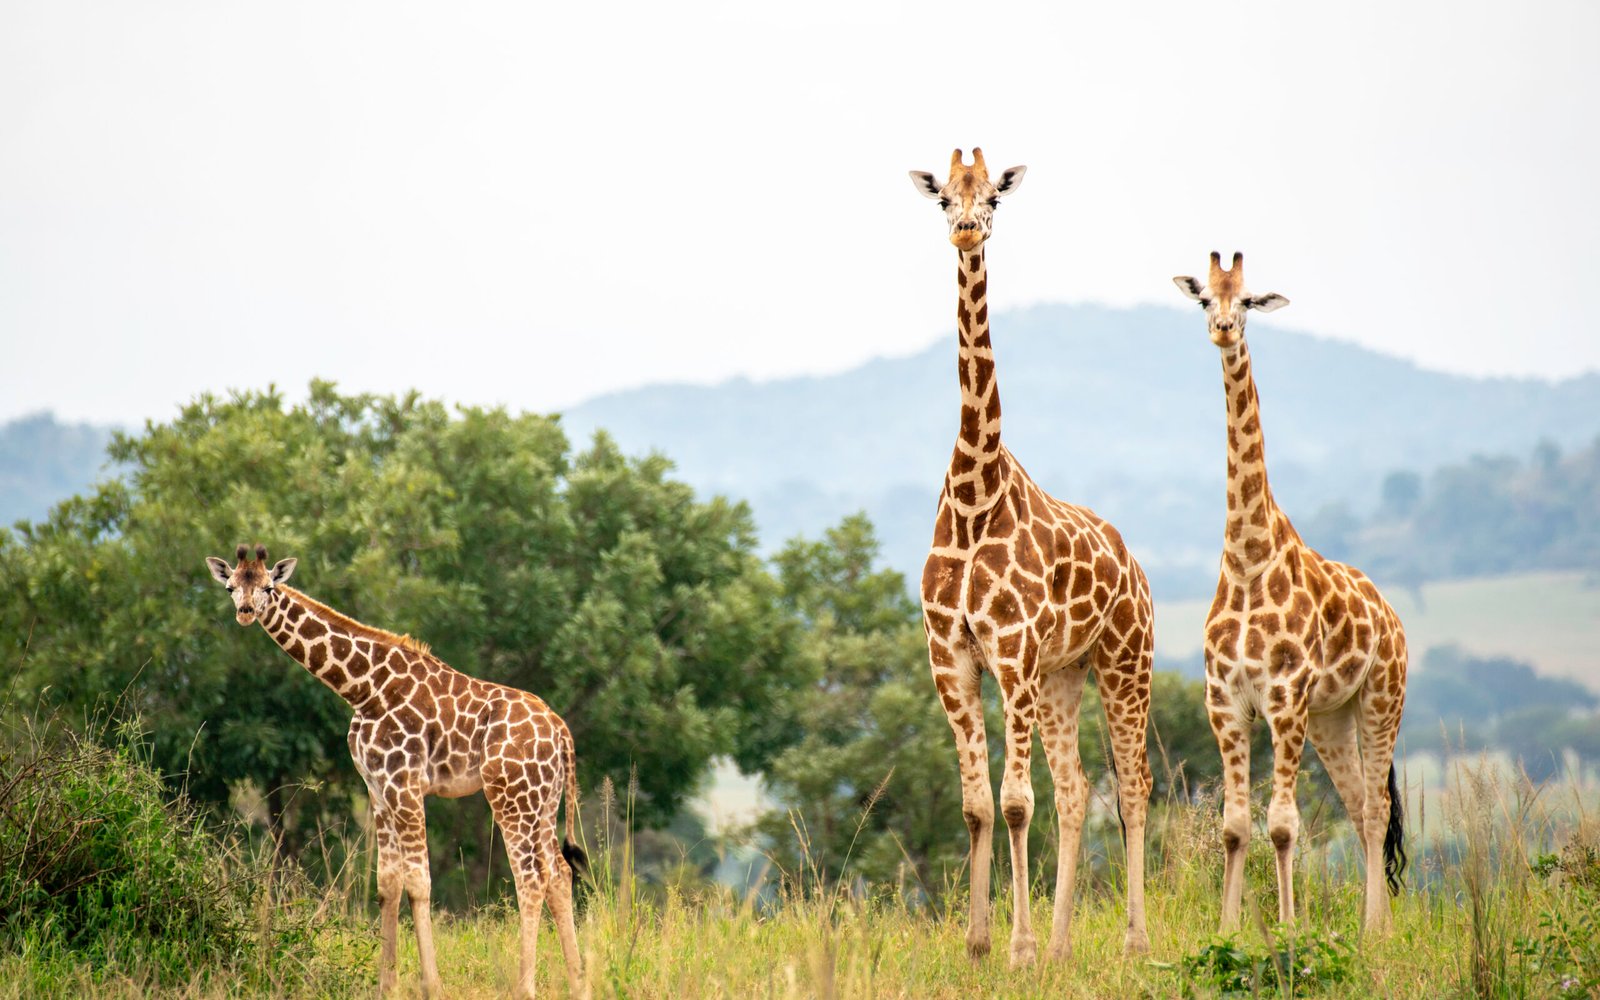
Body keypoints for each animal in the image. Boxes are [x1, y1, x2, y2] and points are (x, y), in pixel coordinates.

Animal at [205, 544, 587, 999]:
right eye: (231, 586)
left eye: (268, 587)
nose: (245, 611)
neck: (363, 689)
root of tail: (561, 732)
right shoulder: (377, 787)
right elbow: (388, 884)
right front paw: (386, 983)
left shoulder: (404, 783)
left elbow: (418, 882)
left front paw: (432, 985)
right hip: (542, 800)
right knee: (559, 874)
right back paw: (578, 981)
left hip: (511, 795)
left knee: (530, 878)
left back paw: (524, 987)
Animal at [909, 148, 1154, 966]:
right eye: (944, 198)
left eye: (993, 199)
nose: (965, 229)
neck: (973, 491)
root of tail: (1136, 567)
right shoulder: (952, 655)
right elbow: (978, 805)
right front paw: (981, 943)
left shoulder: (1010, 650)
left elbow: (1016, 803)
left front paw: (1012, 948)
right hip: (1061, 675)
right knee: (1077, 788)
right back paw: (1061, 945)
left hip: (1124, 661)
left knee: (1134, 785)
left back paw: (1131, 942)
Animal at [1173, 252, 1409, 933]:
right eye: (1206, 299)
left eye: (1249, 300)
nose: (1223, 328)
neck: (1247, 559)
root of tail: (1391, 614)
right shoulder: (1225, 702)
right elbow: (1234, 826)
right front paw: (1227, 929)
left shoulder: (1283, 699)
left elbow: (1281, 825)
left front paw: (1288, 927)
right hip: (1331, 716)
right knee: (1358, 806)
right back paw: (1374, 925)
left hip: (1382, 698)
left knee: (1377, 810)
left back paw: (1376, 930)